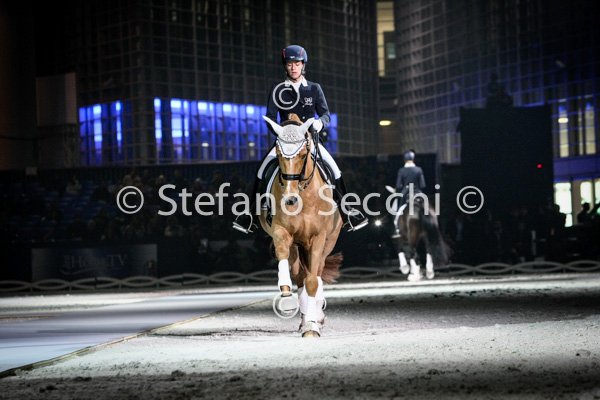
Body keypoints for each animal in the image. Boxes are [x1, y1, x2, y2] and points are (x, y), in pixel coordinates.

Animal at [260, 115, 343, 337]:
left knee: (316, 274)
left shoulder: (319, 237)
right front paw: (287, 299)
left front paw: (312, 326)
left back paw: (315, 317)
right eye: (278, 154)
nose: (290, 199)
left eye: (303, 154)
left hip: (328, 242)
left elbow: (313, 281)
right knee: (299, 276)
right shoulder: (281, 232)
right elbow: (286, 263)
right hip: (297, 246)